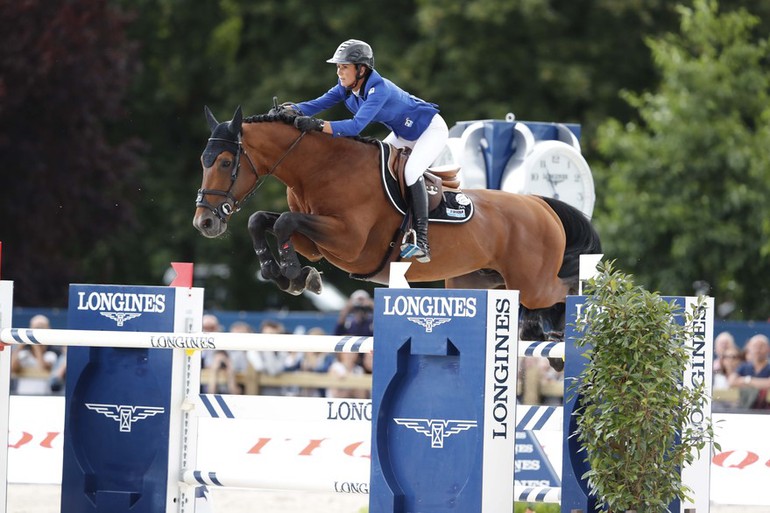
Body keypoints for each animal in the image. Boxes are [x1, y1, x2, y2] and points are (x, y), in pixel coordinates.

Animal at [192, 105, 600, 348]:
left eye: (226, 162)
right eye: (203, 161)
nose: (205, 221)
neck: (322, 170)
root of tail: (541, 204)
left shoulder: (350, 244)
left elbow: (284, 224)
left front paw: (294, 275)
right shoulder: (316, 242)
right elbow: (264, 221)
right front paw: (287, 275)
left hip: (532, 284)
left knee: (565, 289)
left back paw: (564, 326)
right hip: (478, 282)